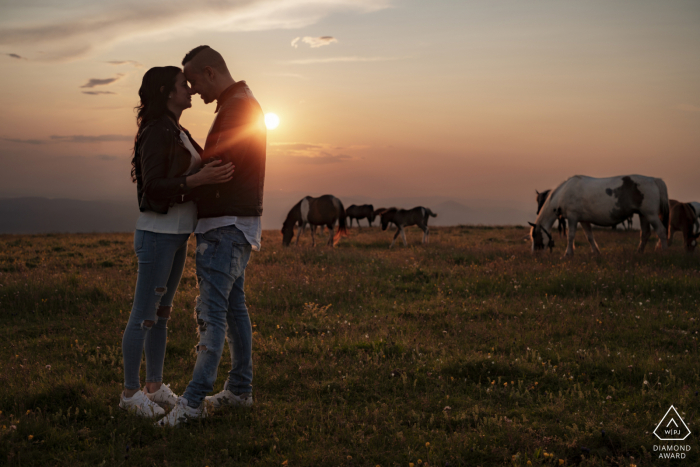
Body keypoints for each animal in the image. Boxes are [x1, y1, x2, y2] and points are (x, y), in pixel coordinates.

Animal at [532, 176, 672, 258]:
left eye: (534, 236)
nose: (535, 255)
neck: (564, 193)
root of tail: (654, 180)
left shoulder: (573, 218)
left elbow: (571, 236)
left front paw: (567, 254)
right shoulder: (583, 220)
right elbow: (589, 237)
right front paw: (596, 253)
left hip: (651, 215)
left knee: (661, 231)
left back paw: (664, 252)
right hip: (643, 215)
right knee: (645, 234)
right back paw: (639, 253)